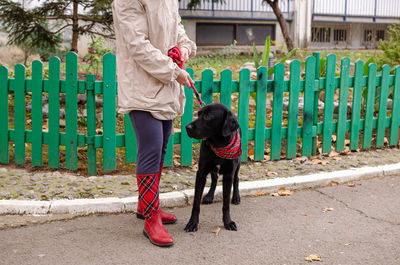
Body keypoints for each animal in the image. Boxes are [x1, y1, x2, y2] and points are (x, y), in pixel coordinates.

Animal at [184, 102, 241, 230]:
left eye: (207, 117)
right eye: (198, 114)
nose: (187, 127)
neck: (218, 144)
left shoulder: (228, 174)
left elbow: (226, 203)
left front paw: (228, 222)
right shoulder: (201, 173)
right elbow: (196, 203)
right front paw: (192, 223)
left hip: (238, 163)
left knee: (236, 178)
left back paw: (236, 197)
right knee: (214, 178)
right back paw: (209, 196)